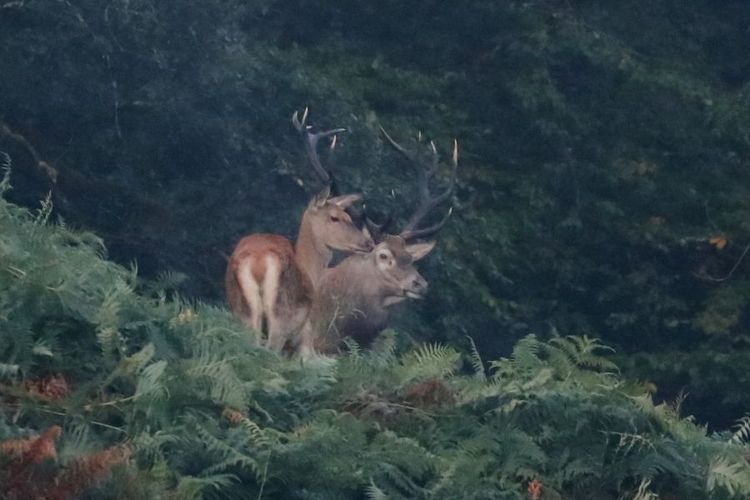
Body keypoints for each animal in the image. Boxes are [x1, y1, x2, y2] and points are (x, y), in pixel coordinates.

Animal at [225, 109, 374, 352]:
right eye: (335, 217)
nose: (368, 243)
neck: (309, 269)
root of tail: (258, 261)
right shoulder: (304, 335)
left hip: (243, 314)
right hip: (281, 318)